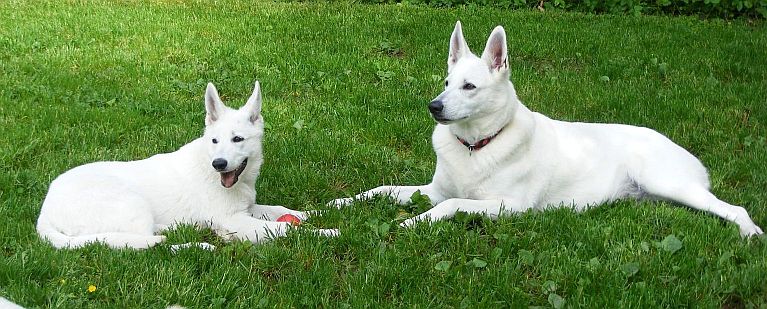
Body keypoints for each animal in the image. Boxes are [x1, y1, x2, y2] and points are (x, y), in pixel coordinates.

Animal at [36, 81, 336, 248]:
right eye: (214, 140)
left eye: (237, 139)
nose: (218, 164)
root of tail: (45, 213)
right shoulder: (233, 218)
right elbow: (284, 228)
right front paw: (327, 231)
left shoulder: (246, 209)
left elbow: (285, 212)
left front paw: (318, 213)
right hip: (131, 204)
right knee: (145, 243)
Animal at [330, 21, 760, 237]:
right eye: (447, 82)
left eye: (469, 87)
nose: (434, 107)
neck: (477, 146)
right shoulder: (435, 189)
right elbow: (380, 190)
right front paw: (335, 205)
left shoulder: (509, 207)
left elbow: (449, 206)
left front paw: (408, 223)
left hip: (670, 182)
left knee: (733, 208)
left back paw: (750, 233)